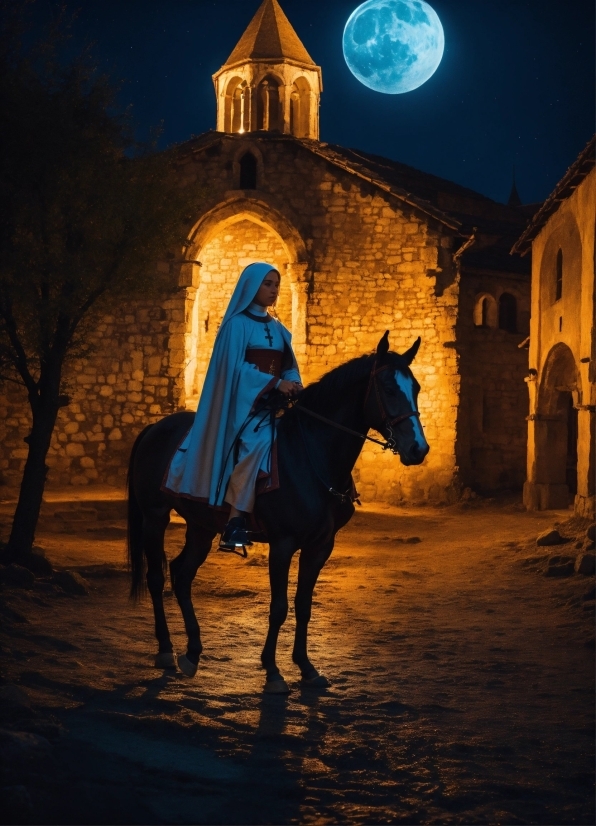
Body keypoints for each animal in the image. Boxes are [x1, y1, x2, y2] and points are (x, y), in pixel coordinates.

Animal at [128, 332, 430, 692]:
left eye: (416, 388)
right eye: (387, 387)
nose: (418, 448)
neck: (310, 455)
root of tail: (155, 427)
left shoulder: (320, 546)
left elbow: (303, 605)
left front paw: (307, 667)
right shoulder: (283, 544)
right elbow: (278, 607)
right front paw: (273, 671)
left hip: (201, 527)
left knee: (182, 574)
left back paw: (192, 652)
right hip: (155, 516)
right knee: (157, 577)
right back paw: (165, 649)